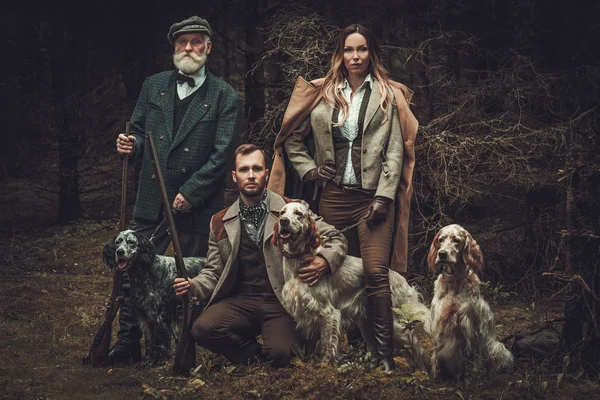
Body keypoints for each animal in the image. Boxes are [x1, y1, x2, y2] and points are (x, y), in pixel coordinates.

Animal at [102, 230, 205, 368]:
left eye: (131, 242)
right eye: (117, 242)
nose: (119, 252)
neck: (145, 273)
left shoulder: (158, 317)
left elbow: (159, 342)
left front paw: (156, 360)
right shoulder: (145, 317)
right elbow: (150, 342)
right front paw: (148, 359)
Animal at [272, 202, 432, 370]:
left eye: (298, 214)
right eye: (282, 212)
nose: (283, 221)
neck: (299, 259)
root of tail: (400, 278)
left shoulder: (328, 312)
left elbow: (327, 344)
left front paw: (325, 365)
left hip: (396, 323)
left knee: (416, 349)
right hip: (368, 323)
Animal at [426, 223, 510, 380]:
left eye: (456, 240)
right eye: (441, 240)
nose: (442, 254)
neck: (454, 283)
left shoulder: (472, 326)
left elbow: (474, 355)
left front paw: (474, 376)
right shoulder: (439, 323)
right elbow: (437, 353)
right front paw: (436, 375)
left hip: (498, 347)